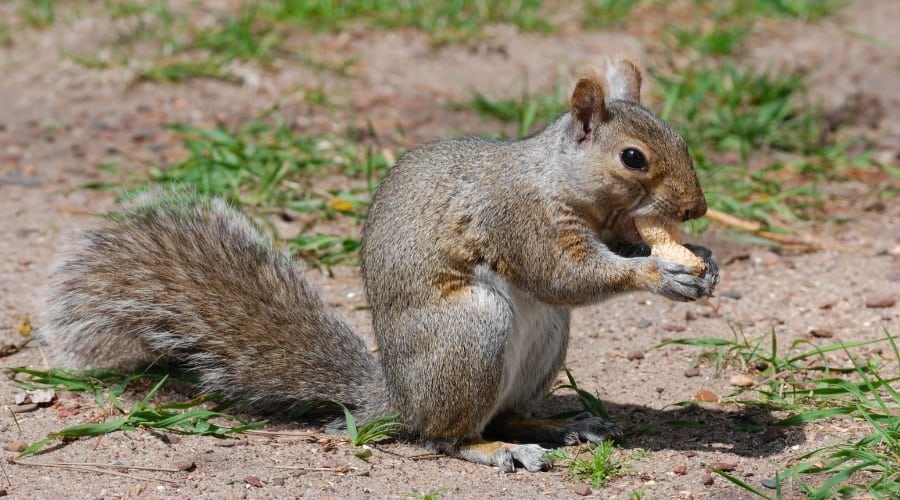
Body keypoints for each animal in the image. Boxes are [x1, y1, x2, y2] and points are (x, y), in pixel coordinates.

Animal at [37, 58, 718, 473]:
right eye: (632, 158)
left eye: (682, 139)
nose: (698, 208)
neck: (558, 180)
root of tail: (396, 397)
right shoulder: (516, 218)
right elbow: (563, 274)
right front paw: (661, 273)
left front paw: (701, 260)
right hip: (473, 332)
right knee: (445, 436)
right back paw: (500, 451)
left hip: (546, 339)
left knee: (507, 408)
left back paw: (564, 425)